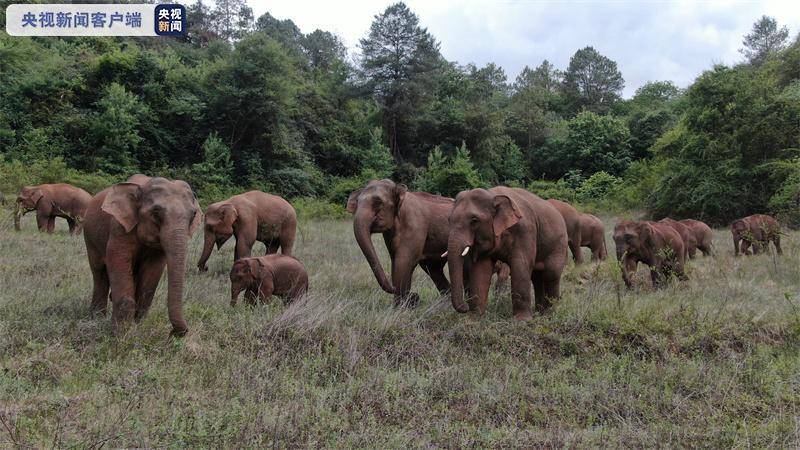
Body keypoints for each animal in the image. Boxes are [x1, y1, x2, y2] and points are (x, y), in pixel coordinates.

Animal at [83, 174, 202, 336]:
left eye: (193, 214)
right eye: (156, 212)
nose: (173, 333)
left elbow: (153, 271)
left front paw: (138, 326)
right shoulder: (119, 226)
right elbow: (117, 258)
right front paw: (120, 333)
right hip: (90, 237)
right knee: (99, 274)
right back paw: (96, 318)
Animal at [446, 187, 572, 320]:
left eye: (474, 220)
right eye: (449, 220)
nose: (465, 307)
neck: (493, 195)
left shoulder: (525, 231)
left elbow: (520, 265)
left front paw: (522, 320)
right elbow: (481, 269)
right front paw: (473, 318)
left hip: (559, 243)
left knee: (550, 273)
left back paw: (549, 314)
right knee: (537, 276)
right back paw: (539, 312)